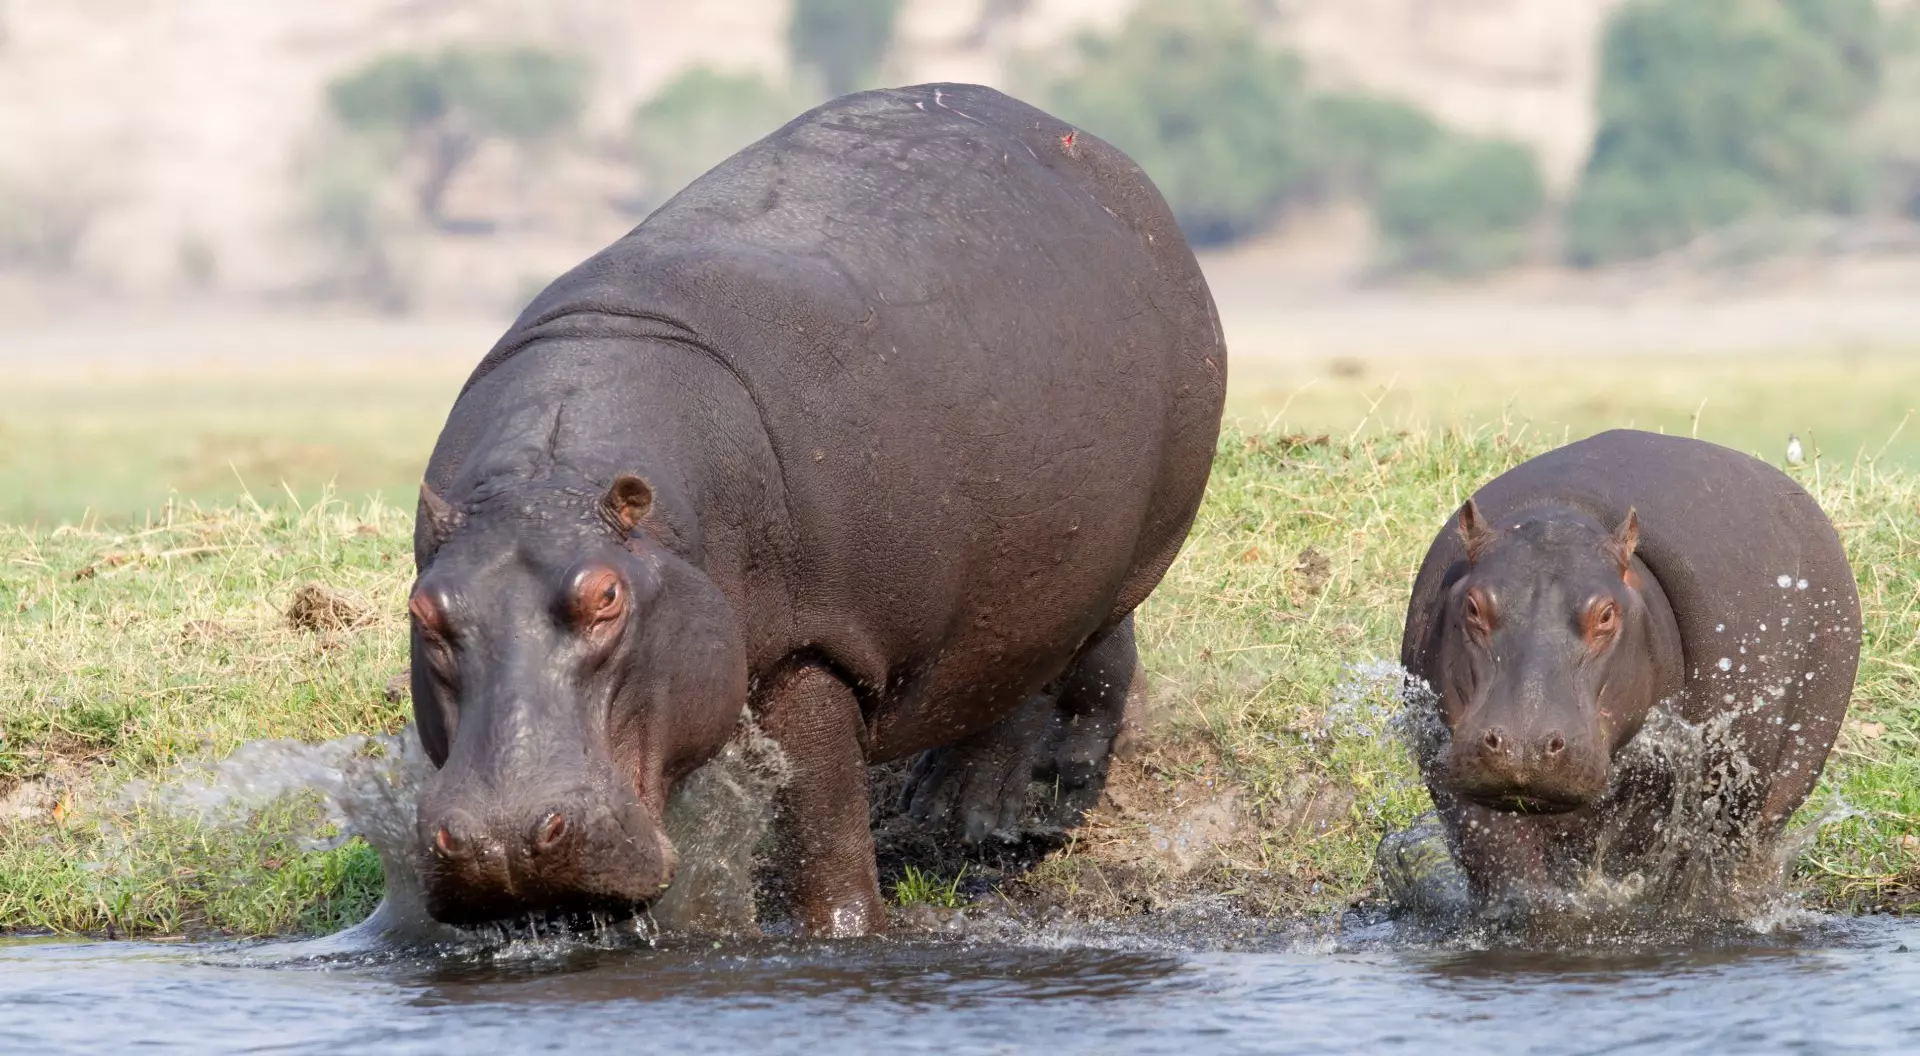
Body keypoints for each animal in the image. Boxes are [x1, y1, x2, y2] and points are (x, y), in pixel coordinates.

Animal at [404, 83, 1226, 935]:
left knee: (1064, 660)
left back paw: (995, 808)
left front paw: (846, 932)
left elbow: (822, 820)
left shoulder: (822, 641)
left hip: (1106, 554)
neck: (554, 478)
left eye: (605, 596)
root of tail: (1110, 161)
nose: (501, 839)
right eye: (422, 611)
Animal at [1388, 429, 1860, 917]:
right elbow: (1507, 869)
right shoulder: (1461, 784)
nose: (1524, 745)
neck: (1559, 515)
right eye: (1473, 606)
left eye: (1606, 614)